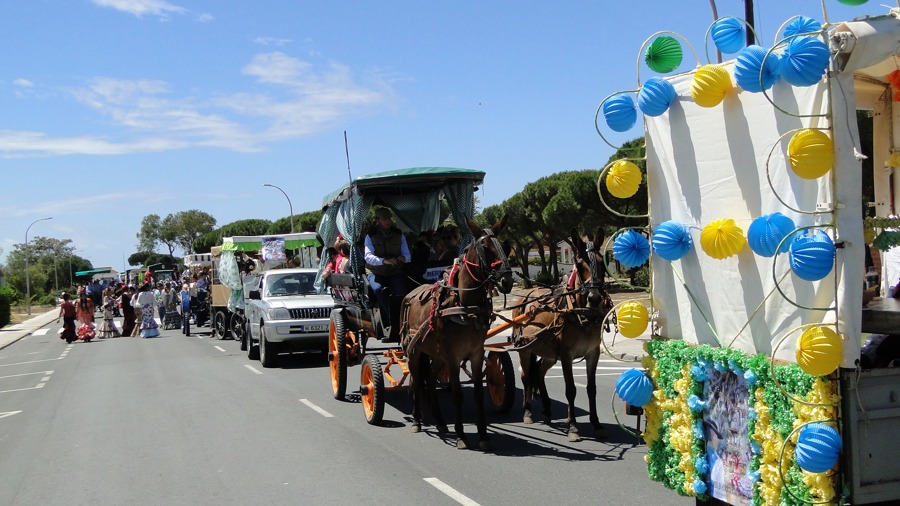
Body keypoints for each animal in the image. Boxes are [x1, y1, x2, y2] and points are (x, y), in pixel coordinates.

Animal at [400, 216, 512, 450]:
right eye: (485, 247)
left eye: (504, 246)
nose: (506, 281)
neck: (464, 306)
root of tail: (410, 294)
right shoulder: (453, 356)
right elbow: (457, 394)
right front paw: (461, 435)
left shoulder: (476, 353)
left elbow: (478, 393)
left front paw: (483, 435)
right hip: (415, 351)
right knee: (416, 381)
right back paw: (416, 420)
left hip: (435, 355)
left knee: (429, 381)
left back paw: (441, 422)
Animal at [512, 227, 612, 440]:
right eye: (579, 264)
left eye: (602, 262)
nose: (594, 298)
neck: (581, 314)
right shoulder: (566, 355)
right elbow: (571, 389)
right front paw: (573, 426)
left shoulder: (593, 353)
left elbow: (591, 389)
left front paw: (596, 424)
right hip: (524, 349)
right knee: (527, 377)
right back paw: (527, 412)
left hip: (549, 354)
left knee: (539, 372)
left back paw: (547, 411)